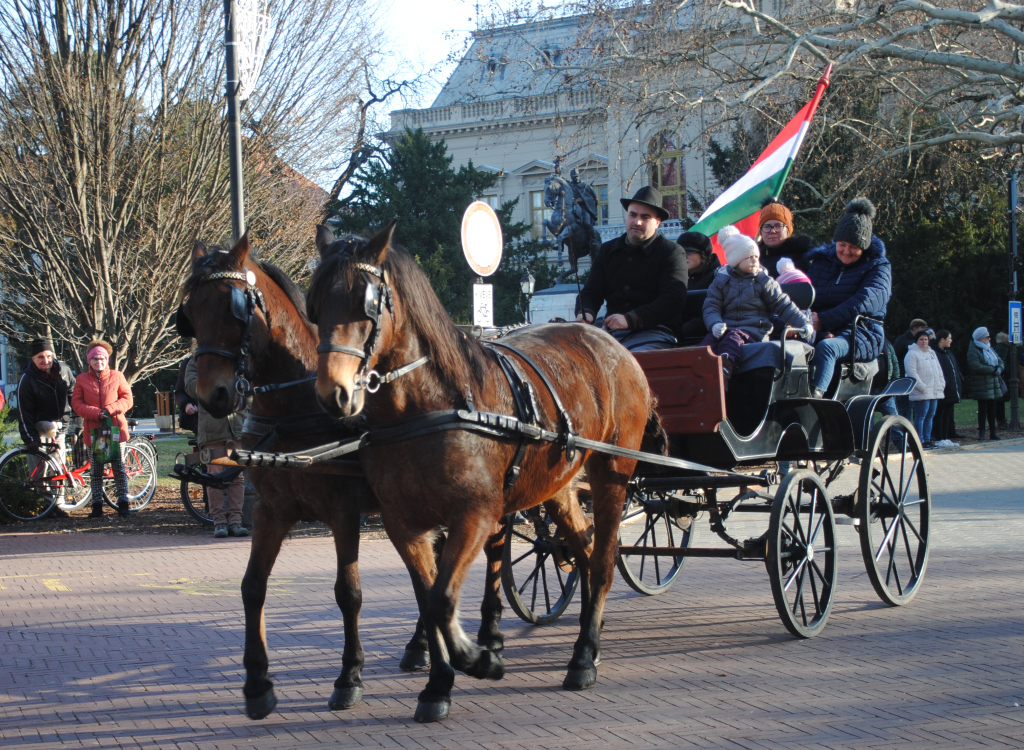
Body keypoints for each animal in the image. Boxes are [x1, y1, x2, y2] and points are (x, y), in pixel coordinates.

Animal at [182, 238, 509, 721]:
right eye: (190, 313)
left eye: (234, 308)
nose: (212, 396)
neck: (295, 408)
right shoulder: (271, 511)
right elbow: (252, 587)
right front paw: (258, 684)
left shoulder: (343, 513)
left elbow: (348, 593)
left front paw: (349, 677)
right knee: (435, 567)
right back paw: (421, 648)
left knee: (493, 550)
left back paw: (488, 635)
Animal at [307, 221, 655, 721]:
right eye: (314, 306)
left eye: (365, 303)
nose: (332, 393)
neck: (429, 408)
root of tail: (611, 343)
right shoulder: (404, 524)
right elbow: (428, 600)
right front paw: (438, 683)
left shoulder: (475, 514)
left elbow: (442, 599)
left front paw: (478, 658)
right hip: (557, 486)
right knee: (586, 552)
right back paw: (589, 636)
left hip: (612, 474)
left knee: (605, 560)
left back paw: (584, 656)